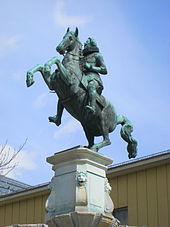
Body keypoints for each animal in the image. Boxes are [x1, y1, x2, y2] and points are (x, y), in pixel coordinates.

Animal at [26, 27, 138, 158]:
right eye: (63, 36)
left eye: (70, 38)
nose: (58, 48)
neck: (72, 65)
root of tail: (117, 117)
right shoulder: (53, 85)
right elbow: (40, 66)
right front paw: (29, 78)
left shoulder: (68, 81)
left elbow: (55, 60)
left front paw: (48, 66)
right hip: (86, 126)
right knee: (92, 140)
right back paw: (87, 146)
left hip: (102, 122)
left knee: (107, 140)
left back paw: (95, 146)